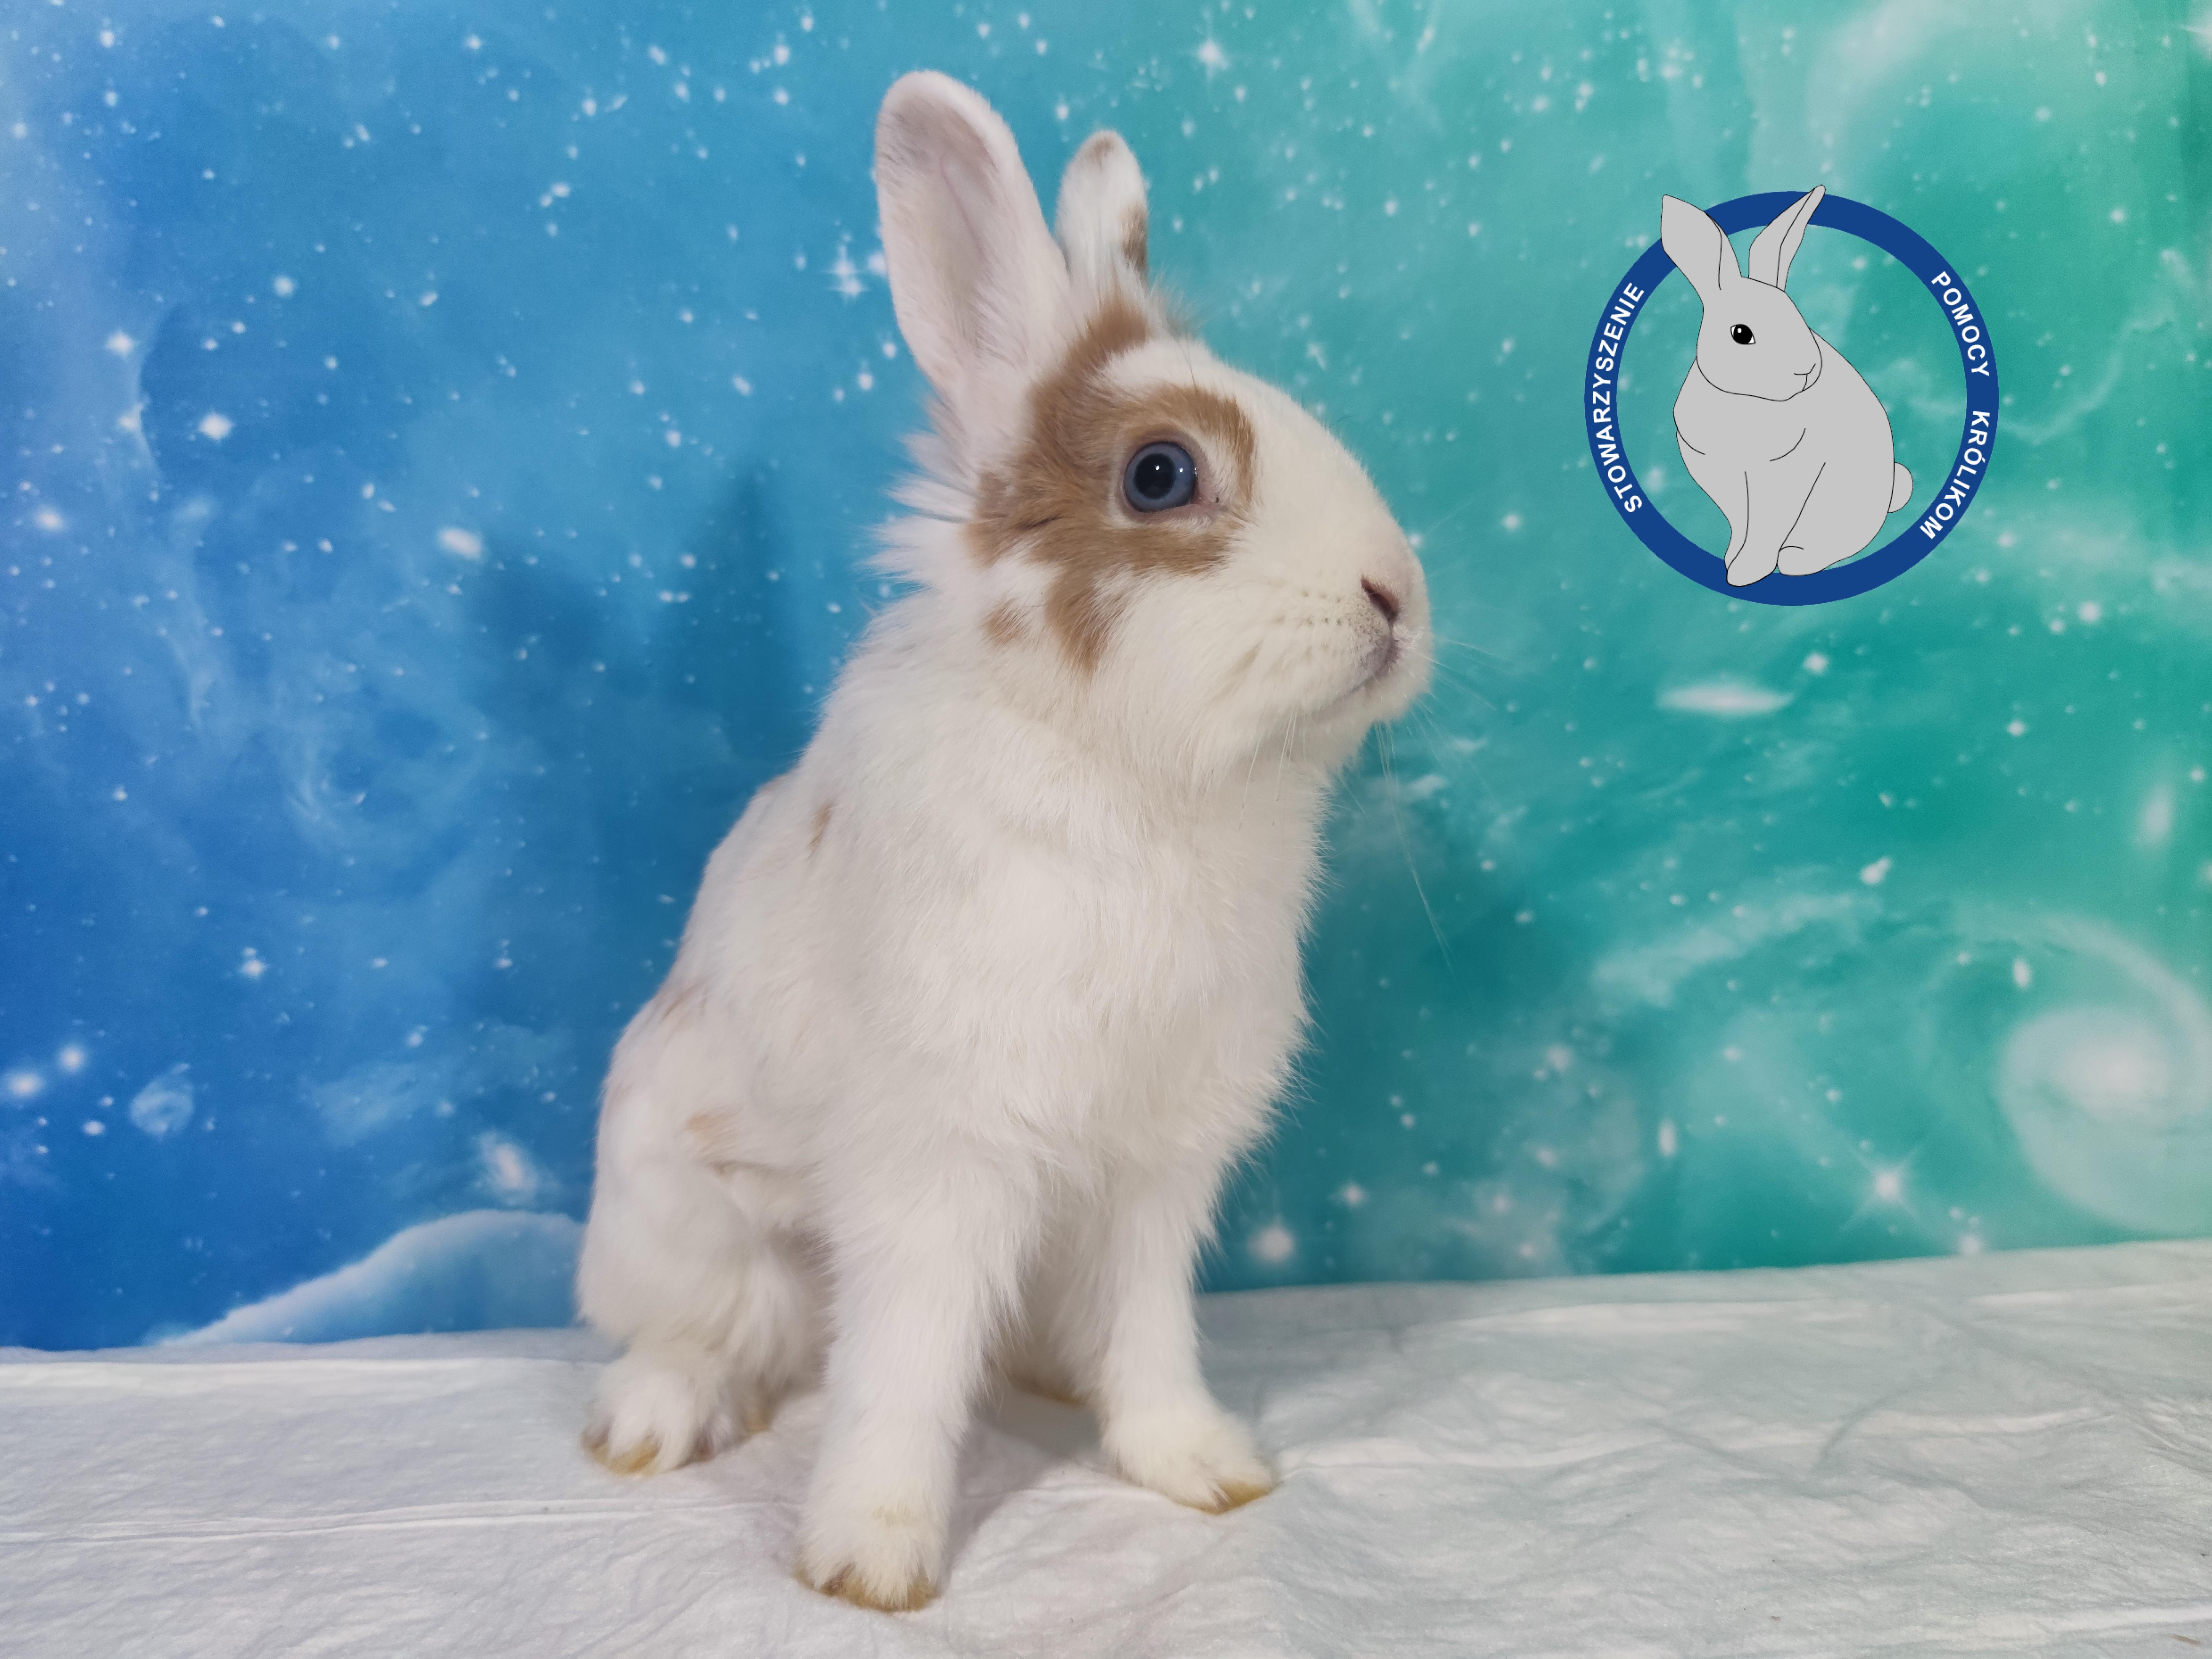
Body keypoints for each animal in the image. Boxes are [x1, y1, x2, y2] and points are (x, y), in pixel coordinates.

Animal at [573, 70, 1431, 1612]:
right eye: (1161, 473)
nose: (1394, 594)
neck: (1131, 771)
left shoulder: (1154, 1170)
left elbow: (1150, 1330)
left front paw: (1198, 1464)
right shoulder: (941, 1155)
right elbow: (903, 1363)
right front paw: (868, 1556)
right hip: (684, 1220)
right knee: (714, 1333)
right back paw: (650, 1419)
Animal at [1660, 187, 1913, 586]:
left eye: (1795, 314)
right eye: (1741, 334)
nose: (1808, 370)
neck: (1744, 402)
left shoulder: (1782, 478)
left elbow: (1766, 528)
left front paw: (1745, 574)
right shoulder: (1727, 481)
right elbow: (1742, 525)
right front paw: (1732, 562)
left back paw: (1797, 561)